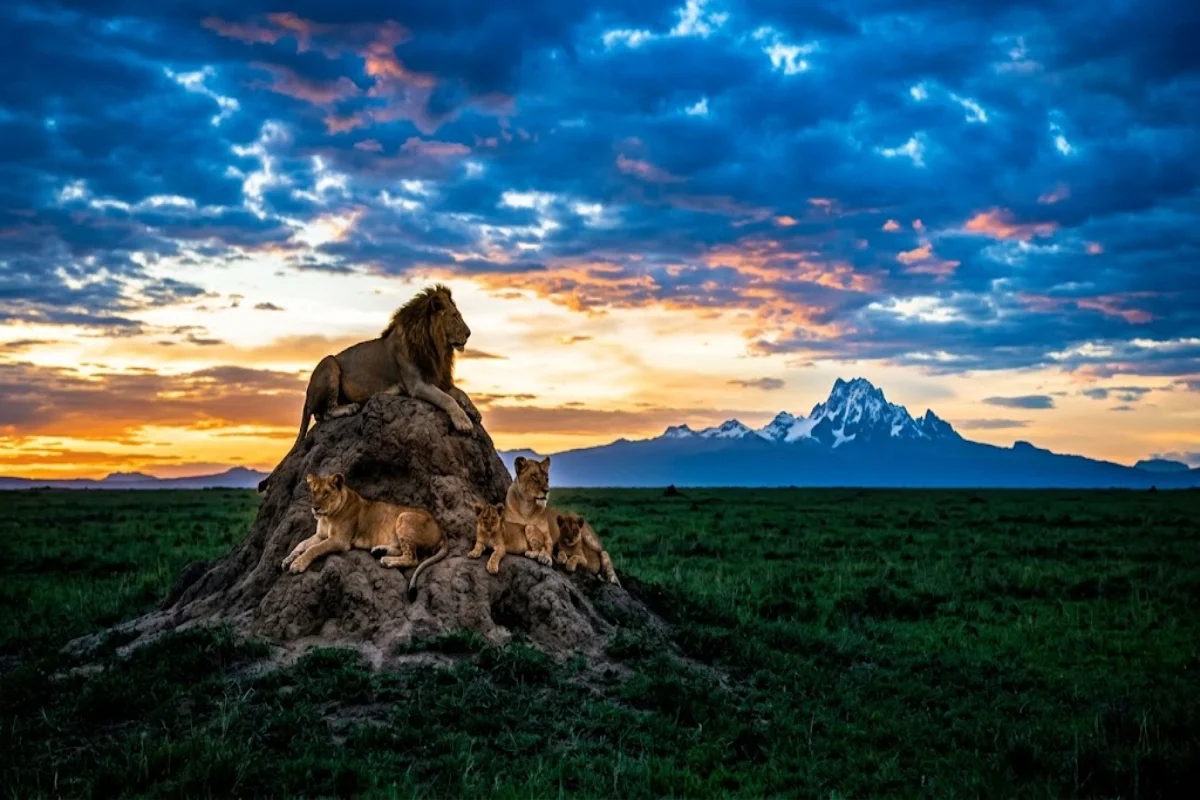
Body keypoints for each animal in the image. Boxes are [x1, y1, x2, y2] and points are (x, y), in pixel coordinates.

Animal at [258, 284, 480, 492]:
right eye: (455, 316)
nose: (469, 333)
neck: (435, 346)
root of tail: (307, 397)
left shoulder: (437, 379)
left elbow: (459, 393)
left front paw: (473, 411)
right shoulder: (416, 384)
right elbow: (446, 399)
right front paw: (464, 423)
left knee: (320, 415)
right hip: (330, 363)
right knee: (327, 412)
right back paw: (350, 407)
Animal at [281, 472, 447, 598]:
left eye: (326, 494)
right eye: (314, 493)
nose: (315, 508)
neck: (327, 517)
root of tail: (441, 530)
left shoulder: (340, 540)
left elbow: (314, 549)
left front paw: (297, 564)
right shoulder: (320, 535)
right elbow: (302, 544)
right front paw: (287, 559)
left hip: (404, 516)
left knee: (413, 558)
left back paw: (387, 561)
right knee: (403, 550)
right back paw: (380, 551)